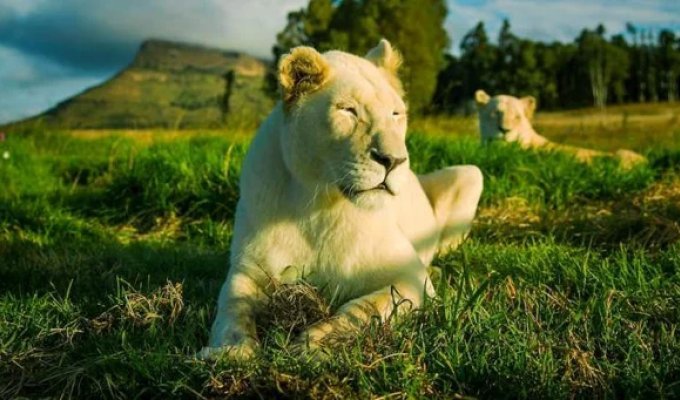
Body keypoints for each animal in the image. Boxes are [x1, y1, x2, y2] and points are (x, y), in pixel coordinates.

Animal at [198, 40, 484, 359]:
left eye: (396, 114)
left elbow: (364, 309)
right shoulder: (247, 268)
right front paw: (231, 351)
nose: (395, 160)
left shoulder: (410, 276)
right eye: (348, 110)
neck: (317, 206)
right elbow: (231, 307)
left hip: (471, 173)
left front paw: (311, 345)